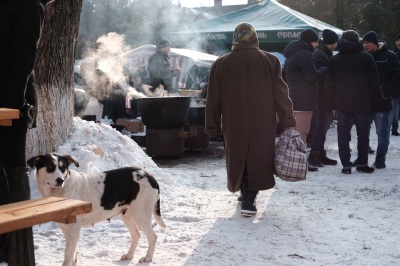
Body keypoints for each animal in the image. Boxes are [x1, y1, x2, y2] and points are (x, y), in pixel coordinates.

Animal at [26, 154, 166, 266]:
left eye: (63, 168)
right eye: (49, 166)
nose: (60, 180)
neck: (62, 189)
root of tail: (150, 176)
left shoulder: (73, 229)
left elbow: (68, 257)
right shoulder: (69, 229)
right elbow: (73, 254)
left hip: (141, 215)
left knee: (153, 237)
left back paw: (148, 258)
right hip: (127, 215)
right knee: (137, 234)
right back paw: (129, 255)